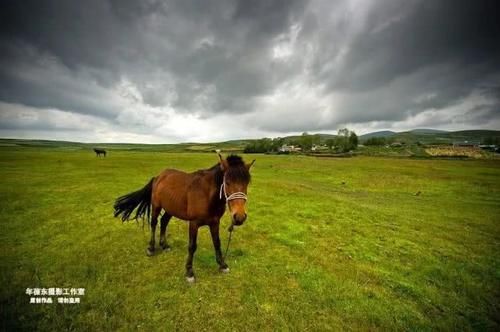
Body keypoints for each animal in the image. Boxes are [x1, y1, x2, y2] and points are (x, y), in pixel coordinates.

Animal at [113, 154, 254, 282]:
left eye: (246, 183)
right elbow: (192, 246)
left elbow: (217, 242)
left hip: (171, 208)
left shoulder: (215, 222)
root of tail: (158, 177)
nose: (239, 217)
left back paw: (164, 245)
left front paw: (222, 265)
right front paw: (189, 272)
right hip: (156, 206)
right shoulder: (194, 223)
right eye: (227, 182)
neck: (207, 195)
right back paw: (151, 248)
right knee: (153, 223)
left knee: (163, 222)